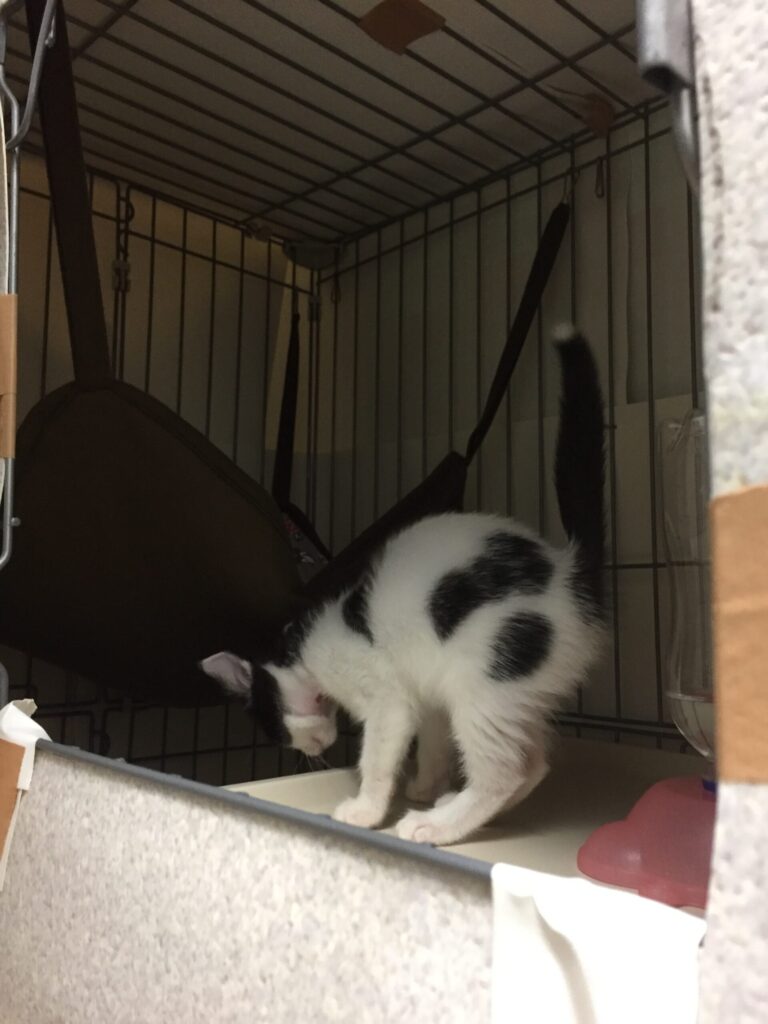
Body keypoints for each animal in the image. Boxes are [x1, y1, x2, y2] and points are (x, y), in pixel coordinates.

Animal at [202, 324, 605, 847]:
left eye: (273, 727)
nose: (309, 752)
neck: (303, 644)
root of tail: (569, 574)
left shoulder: (387, 697)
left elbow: (377, 755)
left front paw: (366, 810)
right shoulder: (427, 696)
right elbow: (432, 745)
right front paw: (424, 786)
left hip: (486, 679)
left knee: (505, 770)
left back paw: (440, 825)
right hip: (515, 693)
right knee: (533, 764)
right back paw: (455, 805)